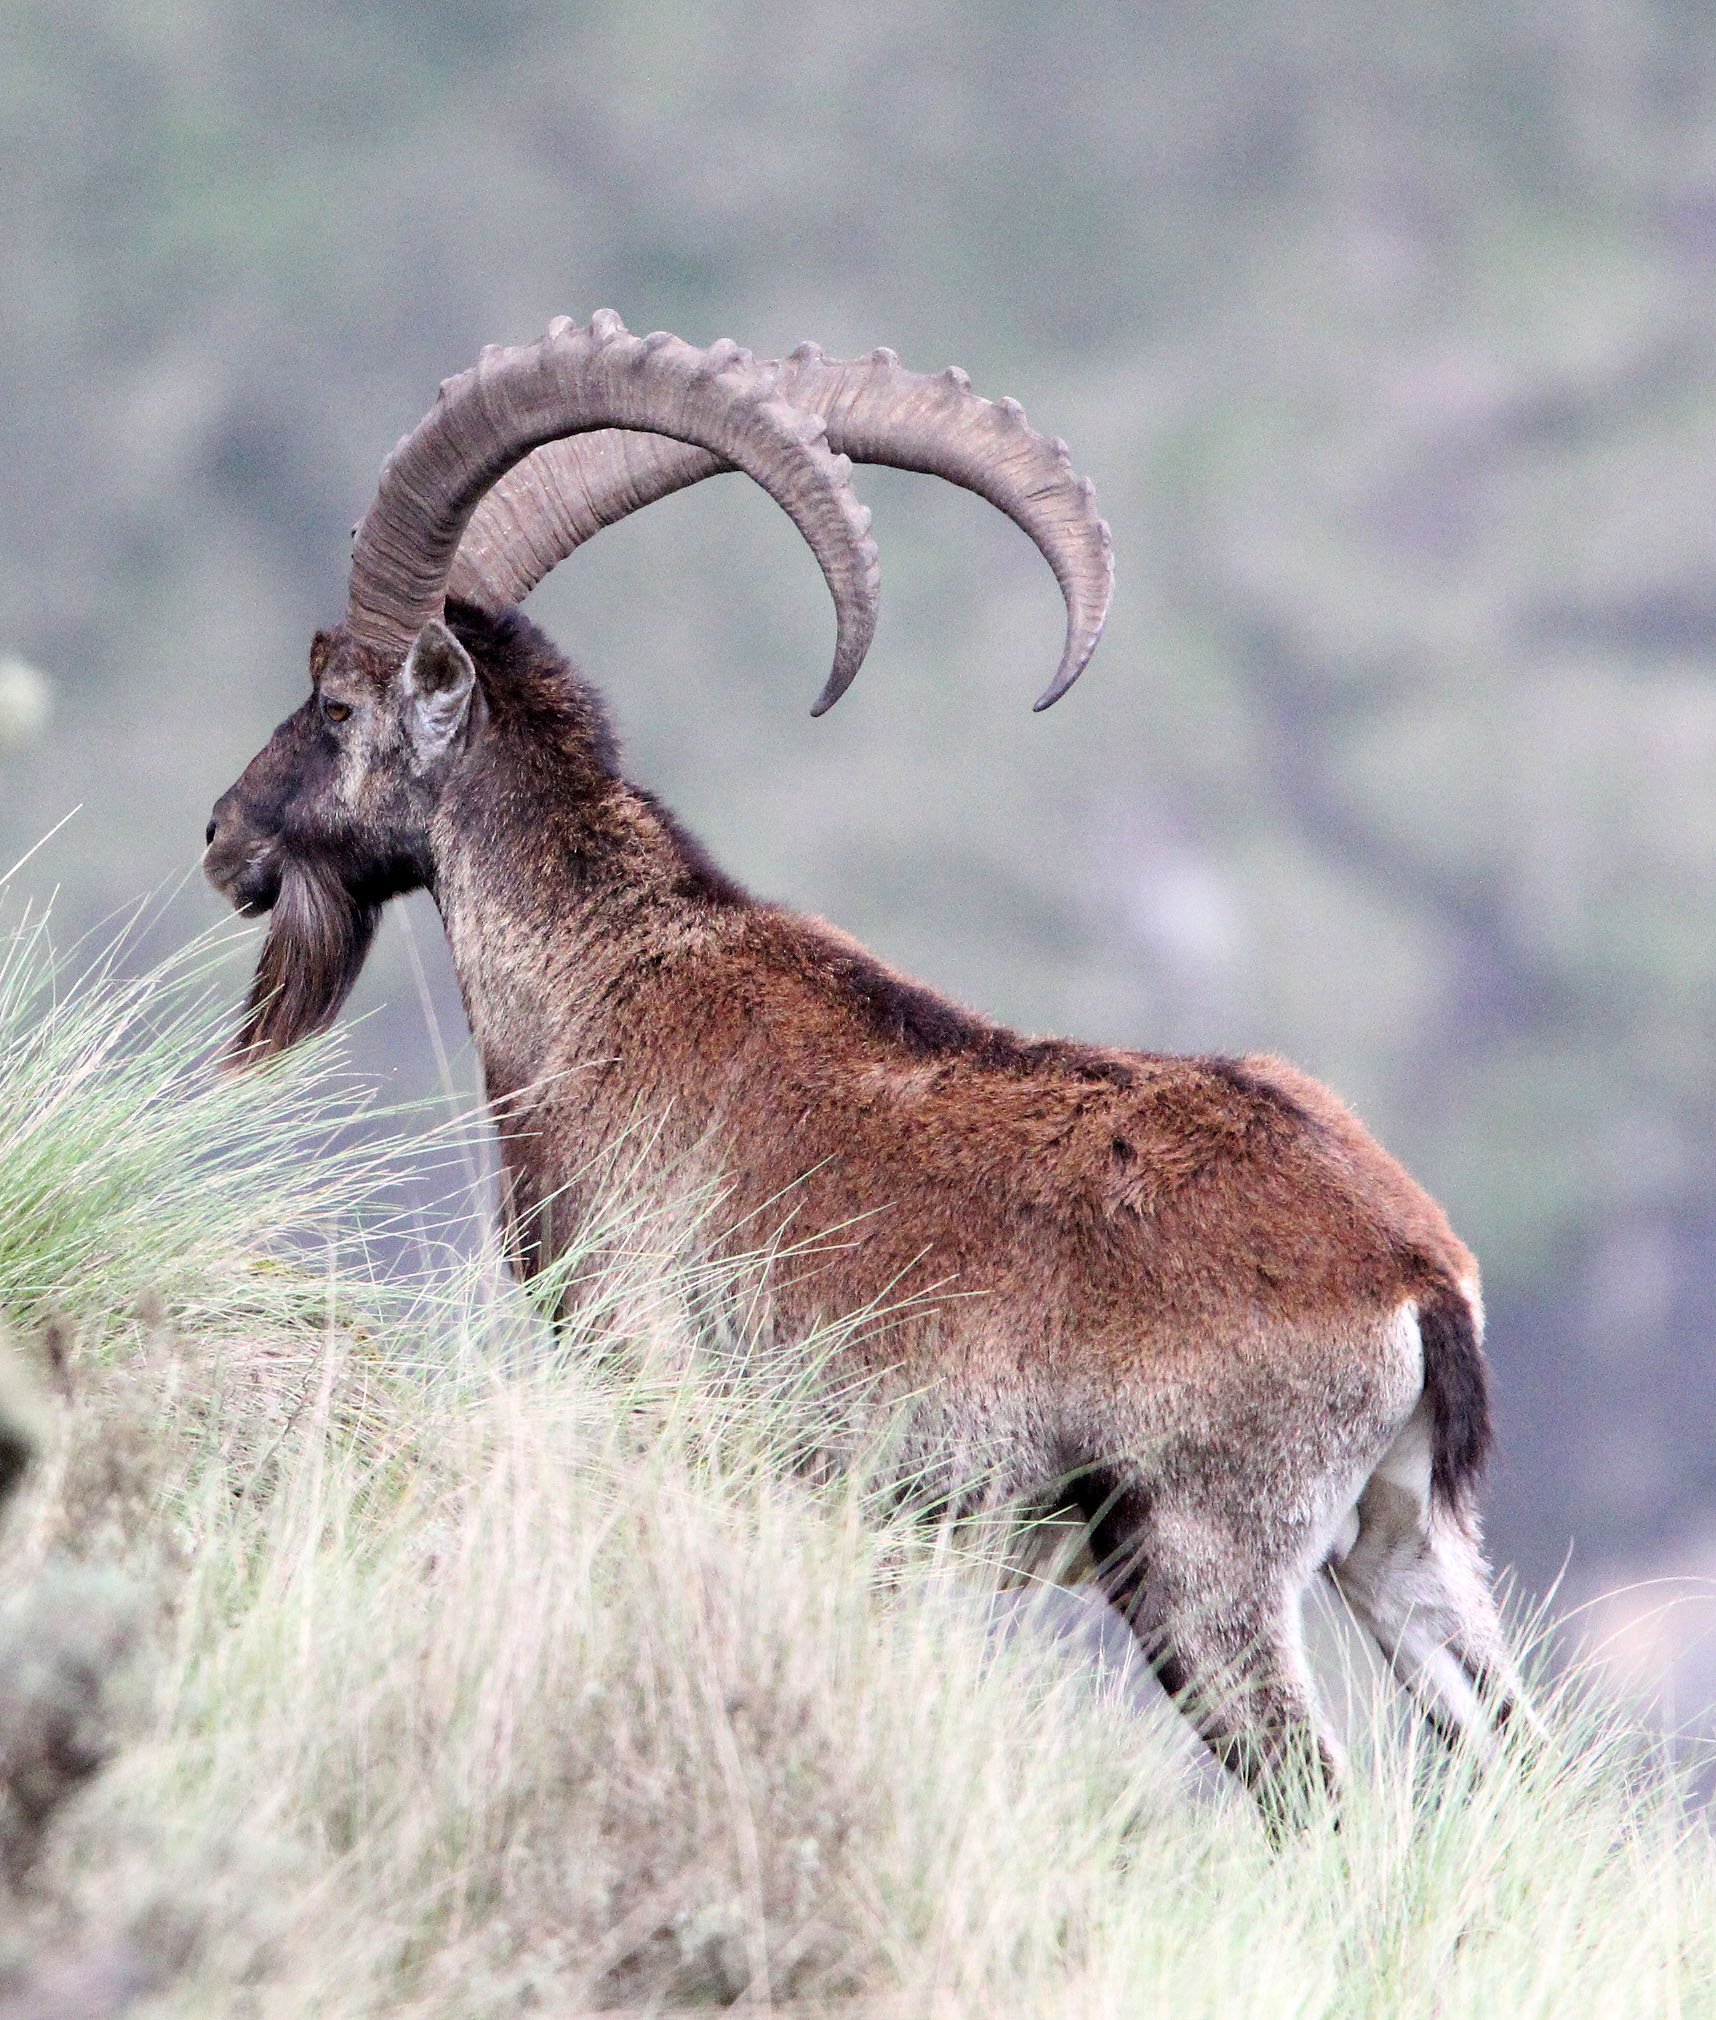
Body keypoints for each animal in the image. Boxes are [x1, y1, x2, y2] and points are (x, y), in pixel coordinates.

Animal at [205, 312, 1533, 1819]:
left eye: (331, 700)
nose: (223, 837)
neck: (602, 980)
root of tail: (1415, 1274)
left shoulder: (658, 1387)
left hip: (1202, 1562)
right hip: (1405, 1547)